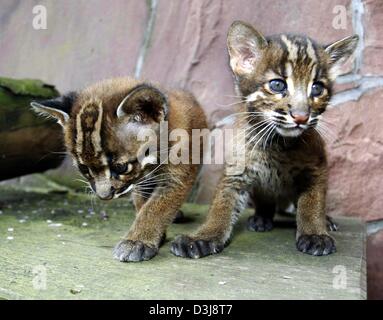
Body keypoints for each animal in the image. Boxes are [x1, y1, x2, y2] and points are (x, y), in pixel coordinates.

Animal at [31, 78, 208, 262]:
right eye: (84, 168)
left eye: (120, 167)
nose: (104, 196)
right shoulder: (140, 182)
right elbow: (143, 203)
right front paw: (147, 236)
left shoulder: (177, 176)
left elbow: (156, 207)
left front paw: (137, 240)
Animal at [172, 21, 358, 258]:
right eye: (277, 85)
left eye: (317, 88)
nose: (301, 117)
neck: (277, 143)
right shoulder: (236, 172)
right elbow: (220, 206)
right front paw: (203, 236)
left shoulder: (317, 168)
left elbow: (312, 203)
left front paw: (315, 232)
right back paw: (261, 217)